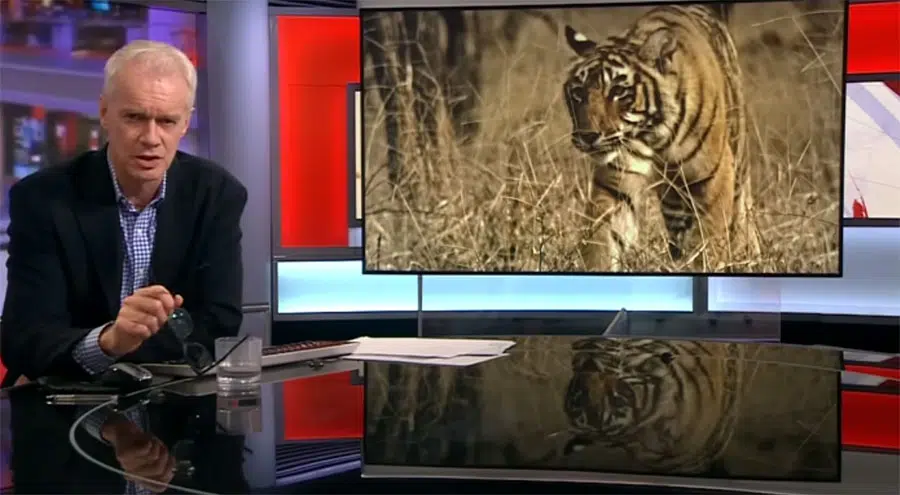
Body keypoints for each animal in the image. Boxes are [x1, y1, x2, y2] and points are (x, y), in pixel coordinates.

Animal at [561, 5, 758, 271]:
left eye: (618, 91)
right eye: (578, 93)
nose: (588, 136)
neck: (653, 133)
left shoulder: (714, 179)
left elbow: (708, 241)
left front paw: (704, 264)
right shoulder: (616, 180)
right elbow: (601, 237)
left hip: (737, 166)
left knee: (743, 216)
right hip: (673, 199)